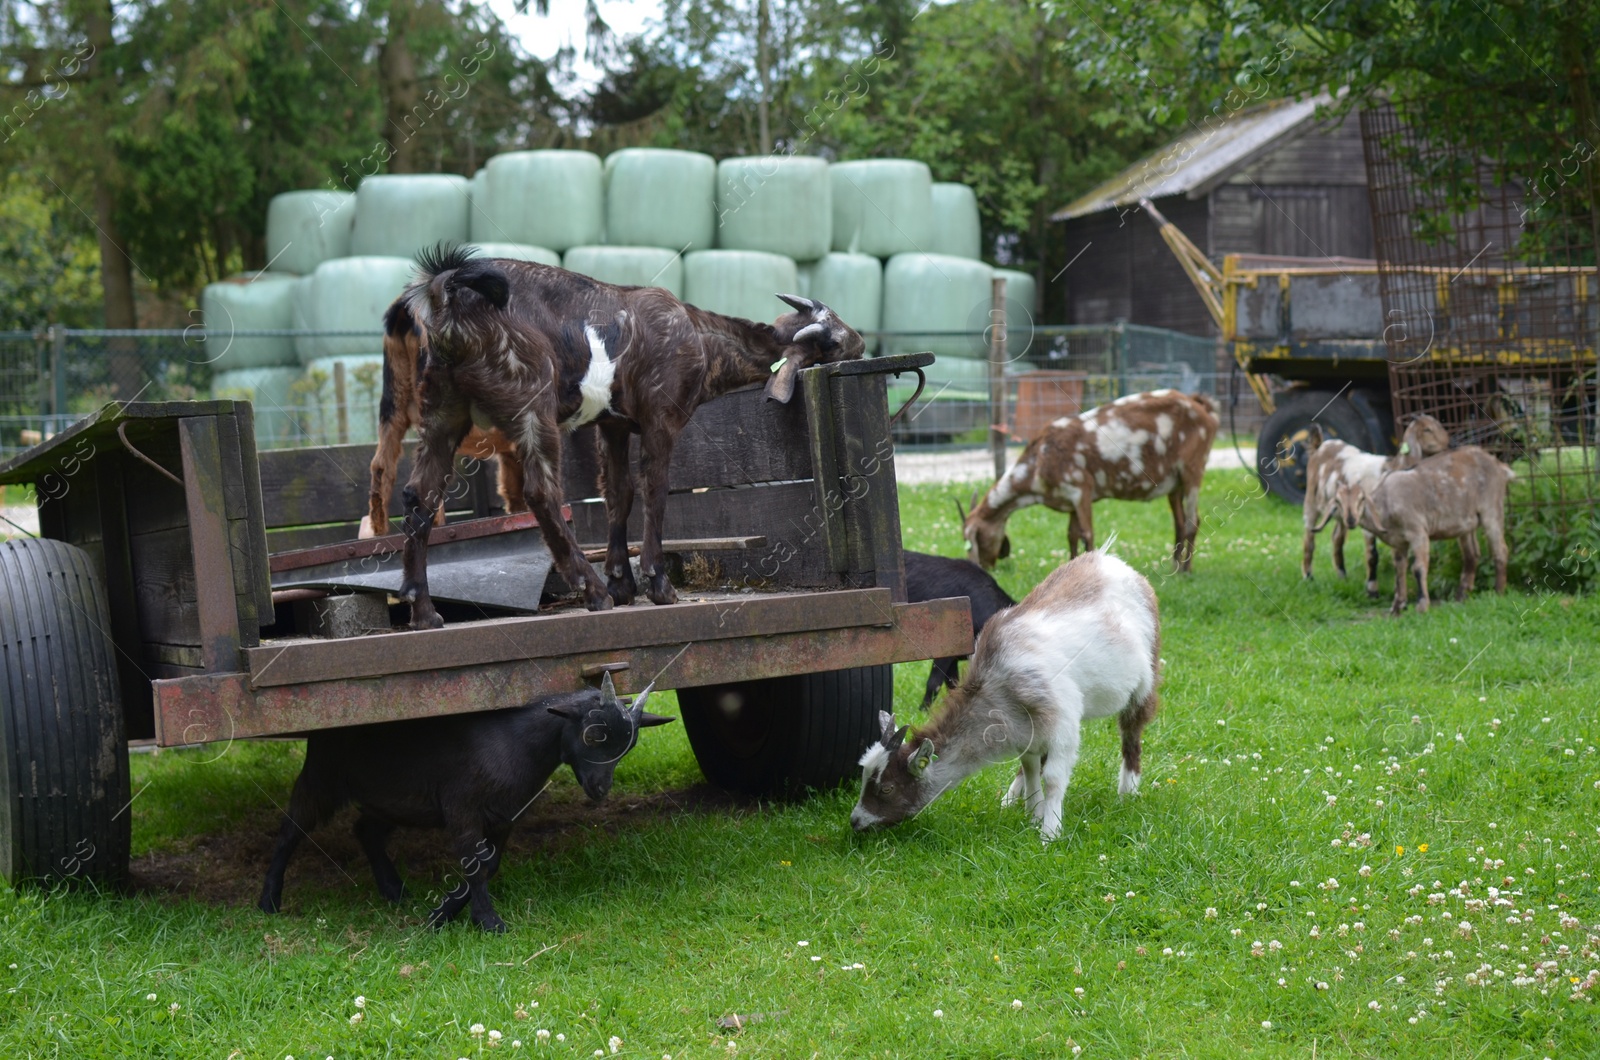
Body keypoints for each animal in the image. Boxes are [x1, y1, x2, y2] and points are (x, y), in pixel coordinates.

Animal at [390, 246, 864, 630]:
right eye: (834, 336)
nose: (861, 341)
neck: (700, 337)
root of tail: (450, 296)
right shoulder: (661, 418)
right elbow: (654, 488)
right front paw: (656, 583)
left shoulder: (612, 425)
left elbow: (618, 492)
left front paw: (623, 582)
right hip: (531, 401)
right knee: (541, 492)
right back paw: (591, 590)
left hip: (442, 409)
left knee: (420, 495)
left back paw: (423, 611)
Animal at [851, 550, 1164, 845]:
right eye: (865, 777)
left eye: (887, 787)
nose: (855, 821)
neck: (997, 684)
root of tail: (1112, 562)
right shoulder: (1024, 728)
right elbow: (1030, 768)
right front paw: (1033, 814)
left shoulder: (1061, 724)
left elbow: (1052, 777)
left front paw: (1049, 833)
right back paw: (1009, 800)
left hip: (1145, 680)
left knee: (1132, 733)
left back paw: (1128, 792)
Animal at [953, 390, 1216, 573]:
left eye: (973, 540)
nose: (985, 566)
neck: (1039, 461)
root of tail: (1200, 405)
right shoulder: (1069, 500)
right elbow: (1071, 535)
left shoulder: (1082, 490)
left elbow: (1087, 534)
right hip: (1174, 484)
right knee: (1180, 522)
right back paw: (1175, 565)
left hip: (1193, 469)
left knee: (1193, 521)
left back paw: (1185, 571)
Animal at [1331, 445, 1516, 614]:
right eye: (1338, 501)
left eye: (1361, 499)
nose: (1350, 520)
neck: (1386, 500)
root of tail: (1499, 466)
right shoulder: (1398, 542)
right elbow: (1399, 570)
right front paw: (1397, 606)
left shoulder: (1418, 532)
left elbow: (1418, 568)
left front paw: (1421, 605)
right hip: (1467, 523)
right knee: (1472, 554)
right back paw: (1461, 596)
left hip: (1492, 509)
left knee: (1500, 550)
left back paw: (1499, 592)